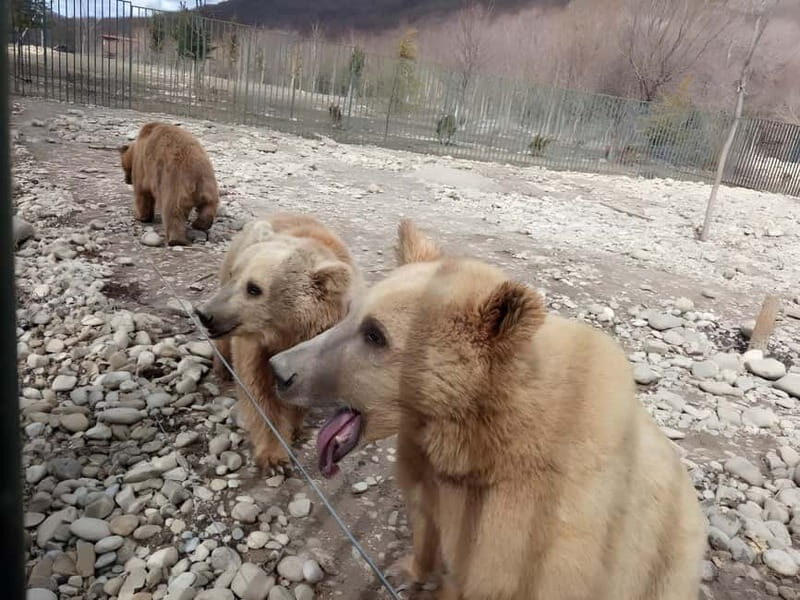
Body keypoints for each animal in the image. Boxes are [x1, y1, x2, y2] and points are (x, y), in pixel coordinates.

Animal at [196, 213, 359, 470]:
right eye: (235, 274)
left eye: (254, 288)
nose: (205, 313)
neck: (288, 332)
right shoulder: (256, 346)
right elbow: (259, 391)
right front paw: (274, 456)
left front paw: (294, 426)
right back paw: (222, 369)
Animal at [268, 219, 706, 600]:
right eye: (353, 314)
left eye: (375, 334)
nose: (281, 369)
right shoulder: (432, 470)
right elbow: (424, 517)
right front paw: (408, 568)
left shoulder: (533, 531)